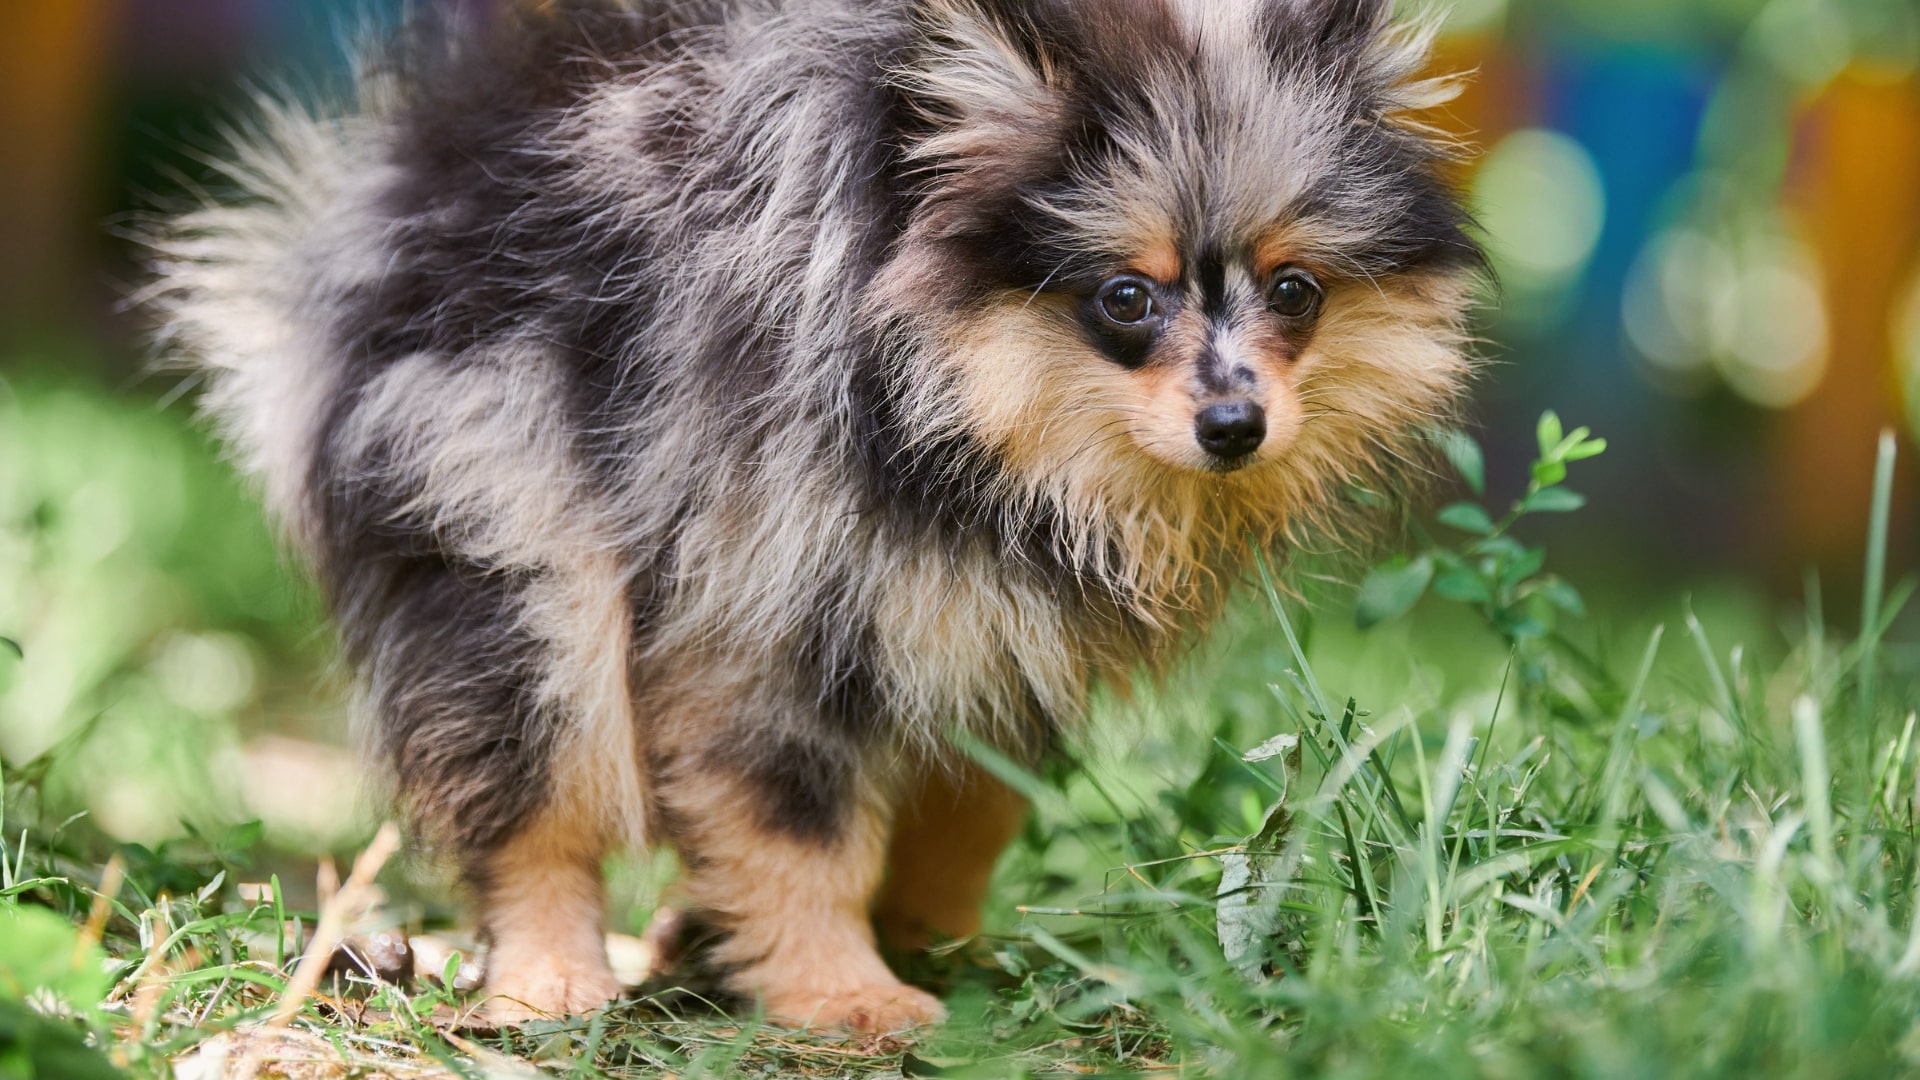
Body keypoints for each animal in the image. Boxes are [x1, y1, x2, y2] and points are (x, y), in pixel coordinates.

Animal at [142, 0, 1474, 1030]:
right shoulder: (763, 599)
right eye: (1125, 299)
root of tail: (403, 184)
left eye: (1294, 290)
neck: (956, 419)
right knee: (538, 774)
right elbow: (794, 824)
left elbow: (972, 801)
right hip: (508, 524)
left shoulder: (984, 617)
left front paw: (935, 939)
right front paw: (847, 994)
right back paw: (549, 977)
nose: (1235, 424)